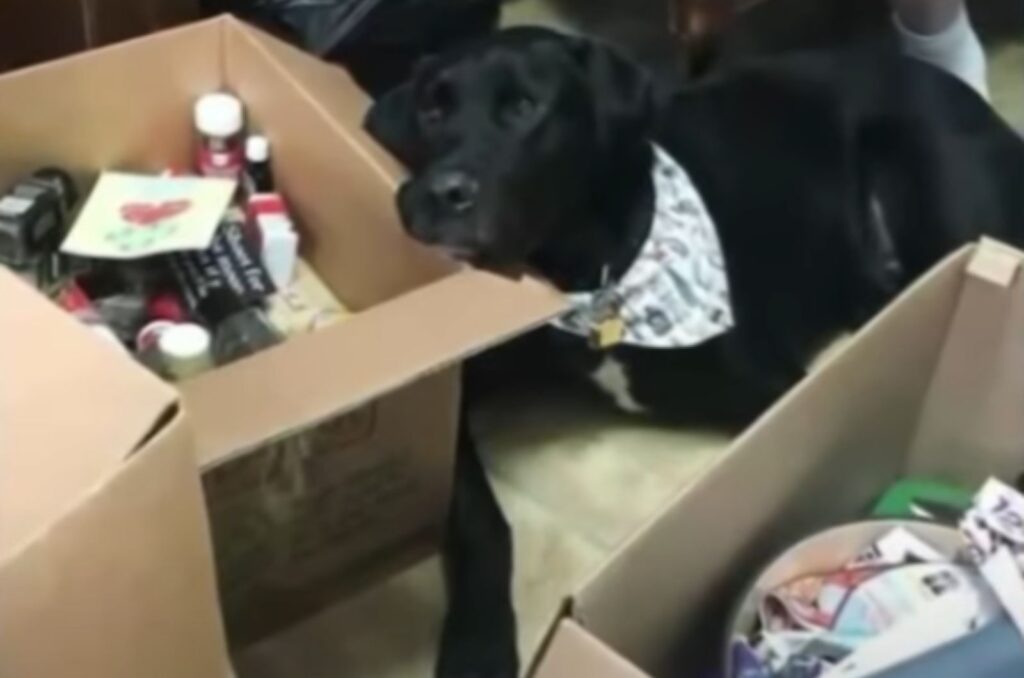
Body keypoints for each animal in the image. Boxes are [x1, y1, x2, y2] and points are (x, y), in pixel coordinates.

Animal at [364, 27, 1024, 678]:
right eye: (432, 110)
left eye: (524, 107)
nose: (433, 194)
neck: (592, 281)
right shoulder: (449, 382)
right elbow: (483, 524)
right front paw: (478, 646)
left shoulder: (779, 388)